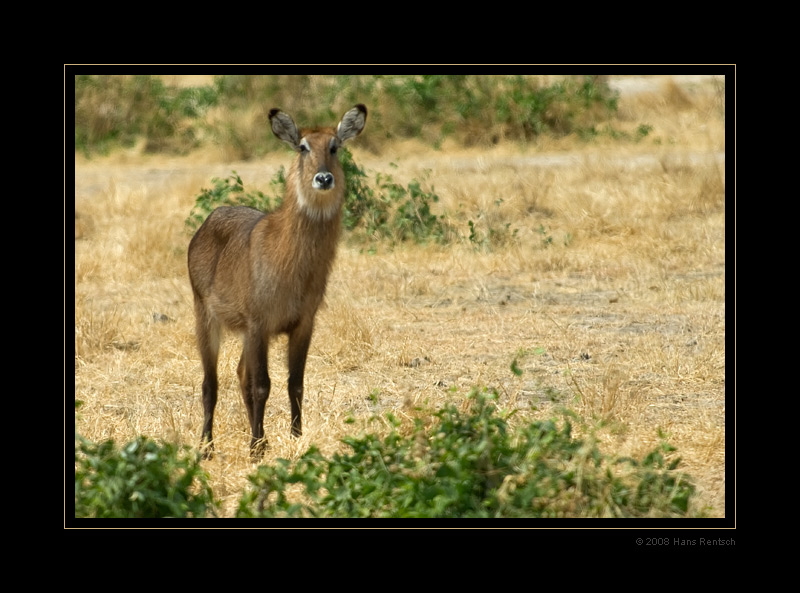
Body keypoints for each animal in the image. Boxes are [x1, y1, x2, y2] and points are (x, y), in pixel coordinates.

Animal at [191, 105, 368, 458]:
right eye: (302, 147)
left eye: (335, 147)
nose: (323, 178)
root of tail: (209, 220)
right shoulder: (259, 323)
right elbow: (262, 385)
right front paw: (255, 448)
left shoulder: (302, 324)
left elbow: (294, 383)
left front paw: (294, 437)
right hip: (206, 317)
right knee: (210, 383)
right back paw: (208, 447)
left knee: (240, 374)